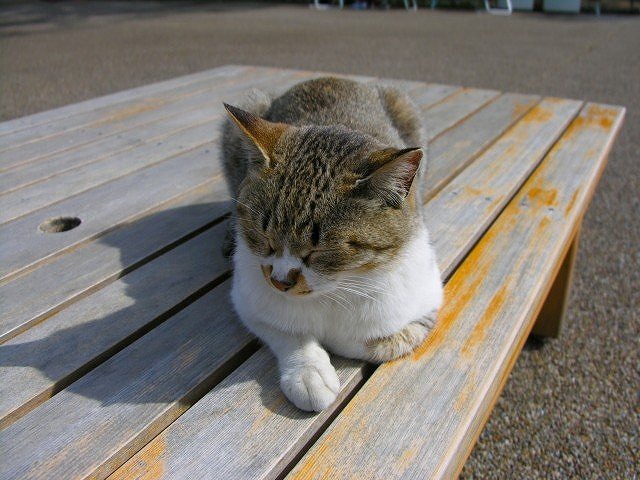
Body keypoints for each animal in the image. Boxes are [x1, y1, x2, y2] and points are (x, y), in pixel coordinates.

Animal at [220, 77, 443, 412]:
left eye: (320, 251)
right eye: (264, 237)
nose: (280, 281)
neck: (335, 290)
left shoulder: (425, 301)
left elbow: (377, 342)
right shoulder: (249, 299)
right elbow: (286, 330)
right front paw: (309, 372)